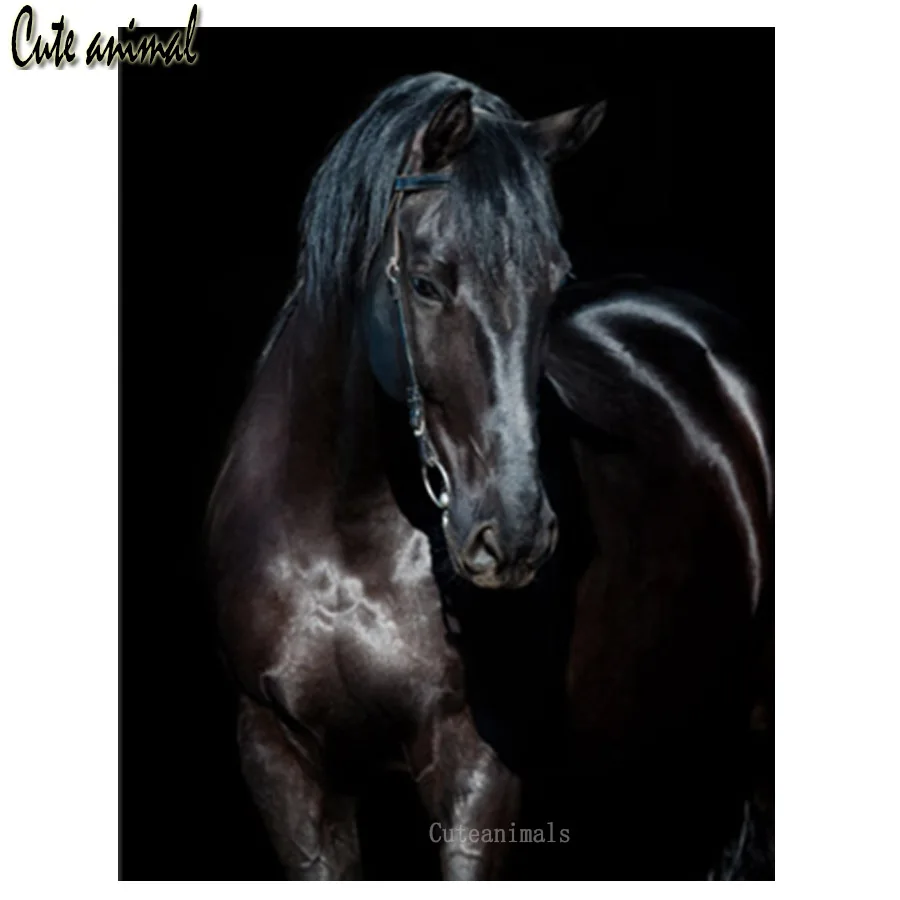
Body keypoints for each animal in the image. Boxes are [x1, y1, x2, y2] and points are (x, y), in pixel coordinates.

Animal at [205, 72, 774, 879]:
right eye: (424, 283)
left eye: (553, 282)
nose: (514, 536)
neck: (343, 534)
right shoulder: (281, 760)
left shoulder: (476, 767)